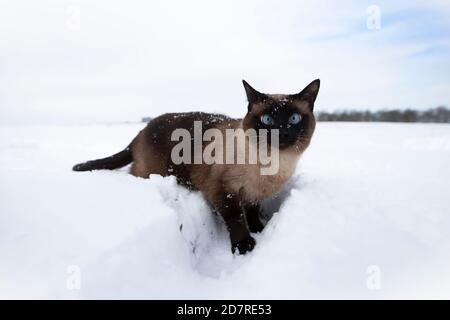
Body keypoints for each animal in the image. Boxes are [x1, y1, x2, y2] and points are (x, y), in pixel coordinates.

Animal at [73, 80, 320, 255]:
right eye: (268, 120)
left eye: (294, 118)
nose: (282, 132)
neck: (273, 165)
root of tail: (141, 131)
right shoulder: (222, 190)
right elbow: (236, 219)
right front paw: (244, 246)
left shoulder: (252, 194)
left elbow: (251, 213)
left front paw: (260, 230)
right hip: (152, 171)